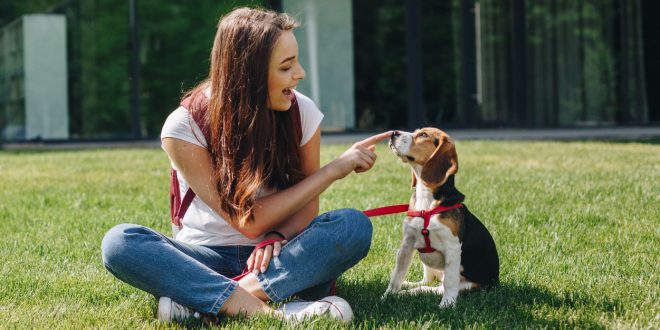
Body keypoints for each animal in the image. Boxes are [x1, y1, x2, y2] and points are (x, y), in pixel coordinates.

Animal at [384, 128, 498, 306]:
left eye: (423, 135)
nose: (393, 133)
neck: (426, 201)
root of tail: (496, 281)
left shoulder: (452, 247)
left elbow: (450, 281)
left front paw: (447, 305)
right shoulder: (406, 244)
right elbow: (396, 275)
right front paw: (387, 296)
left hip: (468, 284)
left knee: (437, 287)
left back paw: (411, 292)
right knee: (427, 281)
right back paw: (408, 287)